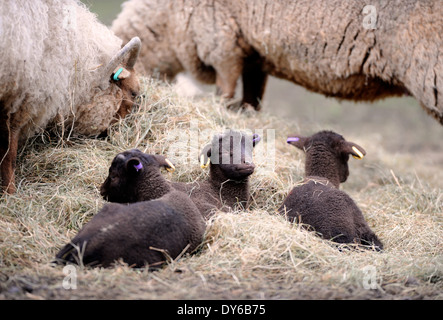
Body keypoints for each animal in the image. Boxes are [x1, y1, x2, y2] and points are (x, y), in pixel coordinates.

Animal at [113, 0, 443, 124]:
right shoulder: (253, 53)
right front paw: (248, 118)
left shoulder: (222, 41)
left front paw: (222, 114)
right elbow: (252, 97)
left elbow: (224, 92)